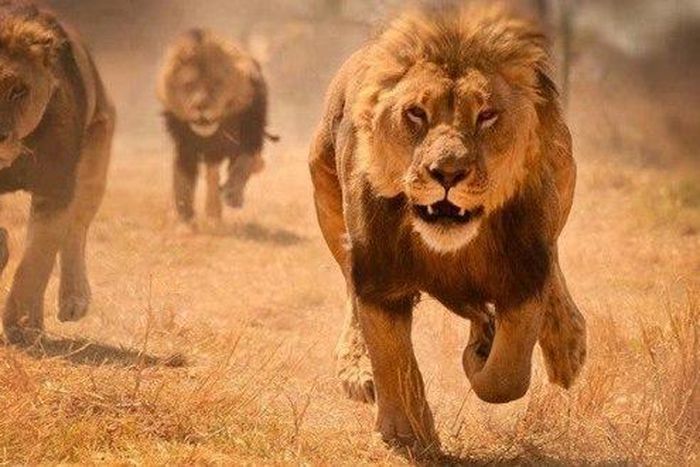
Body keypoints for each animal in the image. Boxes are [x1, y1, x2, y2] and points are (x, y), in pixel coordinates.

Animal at [0, 1, 114, 344]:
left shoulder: (55, 188)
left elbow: (36, 259)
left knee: (75, 231)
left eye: (18, 91)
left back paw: (71, 302)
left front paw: (20, 324)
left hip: (95, 156)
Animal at [158, 29, 277, 231]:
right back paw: (213, 213)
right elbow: (183, 184)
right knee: (212, 176)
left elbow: (243, 165)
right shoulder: (185, 148)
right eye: (189, 85)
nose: (200, 106)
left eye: (217, 83)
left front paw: (233, 194)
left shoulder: (250, 137)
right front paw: (184, 224)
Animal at [309, 3, 586, 451]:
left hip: (562, 180)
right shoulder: (378, 275)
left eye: (487, 115)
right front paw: (406, 434)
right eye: (416, 113)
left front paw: (480, 355)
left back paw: (566, 347)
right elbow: (393, 357)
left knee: (554, 264)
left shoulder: (524, 272)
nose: (448, 173)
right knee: (350, 292)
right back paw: (358, 370)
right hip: (327, 199)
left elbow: (507, 376)